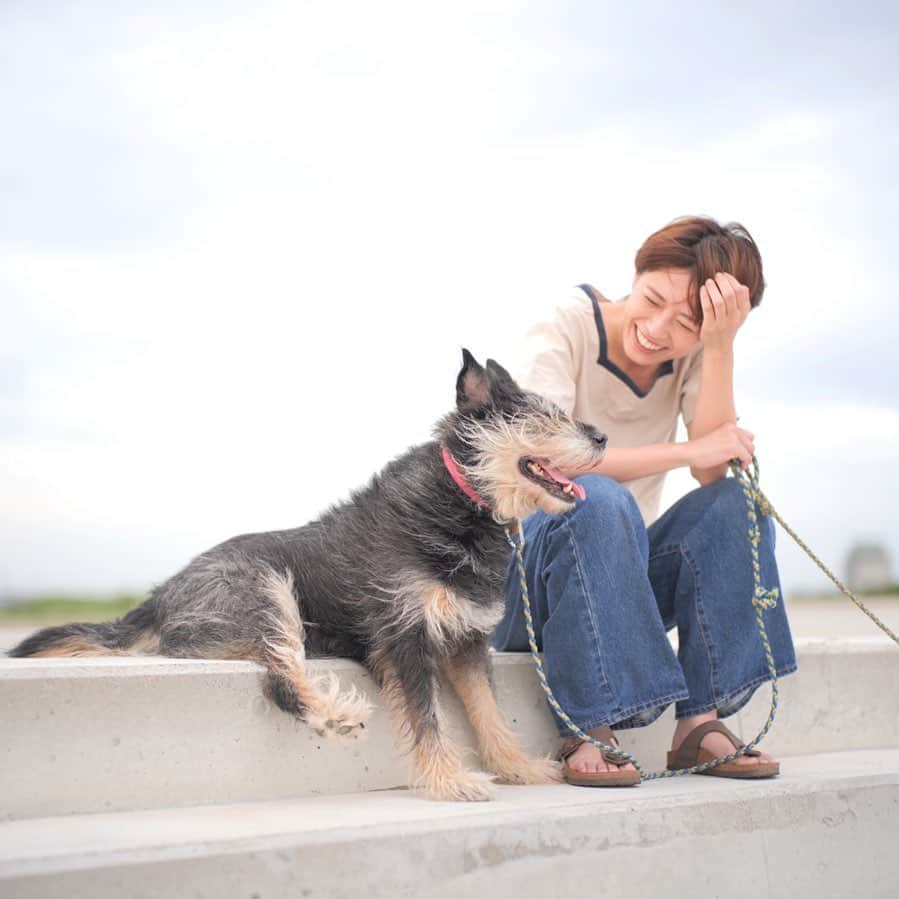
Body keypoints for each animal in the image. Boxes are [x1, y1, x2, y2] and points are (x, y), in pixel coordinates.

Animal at [12, 350, 604, 800]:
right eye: (544, 417)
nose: (599, 436)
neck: (463, 501)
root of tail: (160, 596)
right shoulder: (404, 635)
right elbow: (426, 718)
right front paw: (450, 781)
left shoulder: (466, 642)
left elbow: (490, 713)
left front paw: (518, 768)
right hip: (264, 590)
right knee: (279, 679)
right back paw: (330, 716)